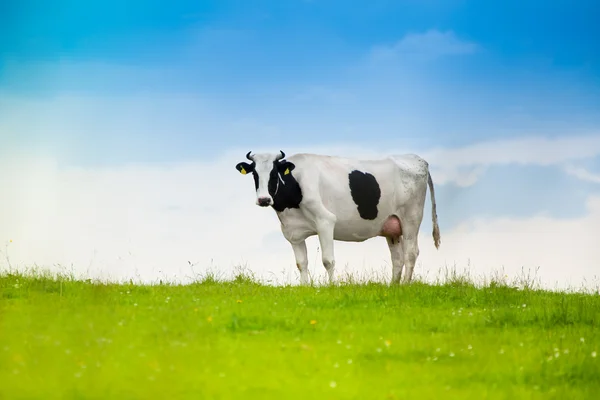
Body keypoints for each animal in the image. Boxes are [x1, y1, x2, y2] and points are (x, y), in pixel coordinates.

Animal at [236, 149, 440, 284]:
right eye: (255, 174)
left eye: (273, 173)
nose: (263, 199)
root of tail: (418, 159)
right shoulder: (293, 232)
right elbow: (301, 263)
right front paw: (304, 287)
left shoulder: (325, 221)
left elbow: (328, 260)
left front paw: (332, 287)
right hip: (392, 227)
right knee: (397, 258)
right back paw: (393, 287)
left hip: (411, 218)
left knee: (411, 253)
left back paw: (405, 285)